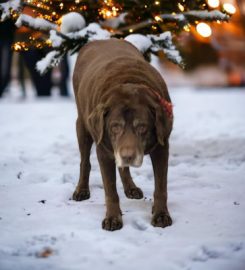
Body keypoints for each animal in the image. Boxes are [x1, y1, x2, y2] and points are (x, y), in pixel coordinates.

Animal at [72, 39, 173, 231]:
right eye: (115, 127)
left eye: (142, 127)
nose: (127, 156)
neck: (128, 82)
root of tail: (101, 39)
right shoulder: (104, 151)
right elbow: (110, 191)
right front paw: (113, 218)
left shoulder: (162, 147)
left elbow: (161, 187)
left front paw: (161, 214)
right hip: (83, 125)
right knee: (84, 161)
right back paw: (81, 190)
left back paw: (130, 187)